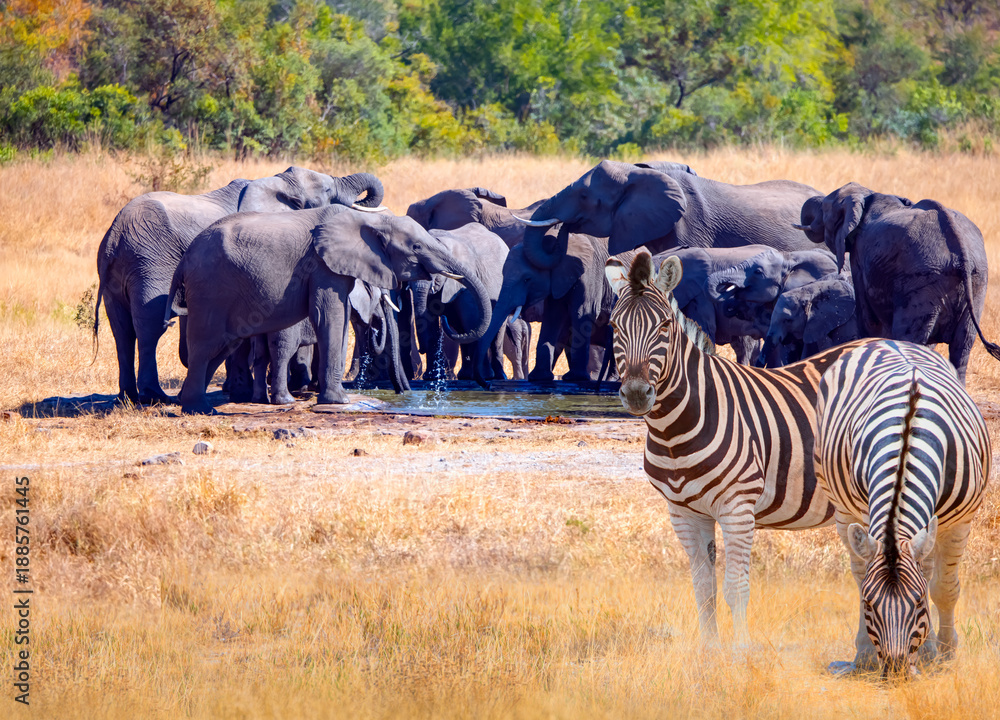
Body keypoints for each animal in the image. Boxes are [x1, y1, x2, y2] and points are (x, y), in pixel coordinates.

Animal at [94, 166, 385, 404]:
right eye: (327, 191)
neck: (278, 183)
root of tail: (115, 233)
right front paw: (244, 393)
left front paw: (238, 391)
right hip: (149, 261)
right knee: (150, 327)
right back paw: (154, 396)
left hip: (117, 273)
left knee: (122, 331)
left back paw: (127, 397)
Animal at [167, 206, 491, 414]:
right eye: (417, 247)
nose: (408, 393)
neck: (369, 219)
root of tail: (184, 259)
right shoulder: (321, 265)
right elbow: (330, 315)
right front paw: (340, 401)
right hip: (210, 287)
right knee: (205, 345)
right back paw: (199, 409)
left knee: (221, 346)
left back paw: (193, 404)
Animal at [604, 251, 875, 644]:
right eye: (614, 327)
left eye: (665, 327)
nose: (638, 394)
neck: (674, 432)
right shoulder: (684, 512)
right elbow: (704, 588)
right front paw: (709, 653)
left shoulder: (738, 507)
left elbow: (736, 588)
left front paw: (740, 654)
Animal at [798, 182, 1000, 383]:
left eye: (824, 209)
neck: (867, 196)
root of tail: (961, 250)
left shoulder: (859, 258)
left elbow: (868, 318)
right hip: (977, 282)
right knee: (962, 348)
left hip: (922, 285)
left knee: (912, 339)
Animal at [814, 339, 991, 678]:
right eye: (869, 605)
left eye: (919, 603)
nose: (896, 670)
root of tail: (886, 340)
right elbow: (865, 579)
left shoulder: (960, 522)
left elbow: (944, 588)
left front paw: (944, 653)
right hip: (842, 508)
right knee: (859, 571)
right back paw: (865, 655)